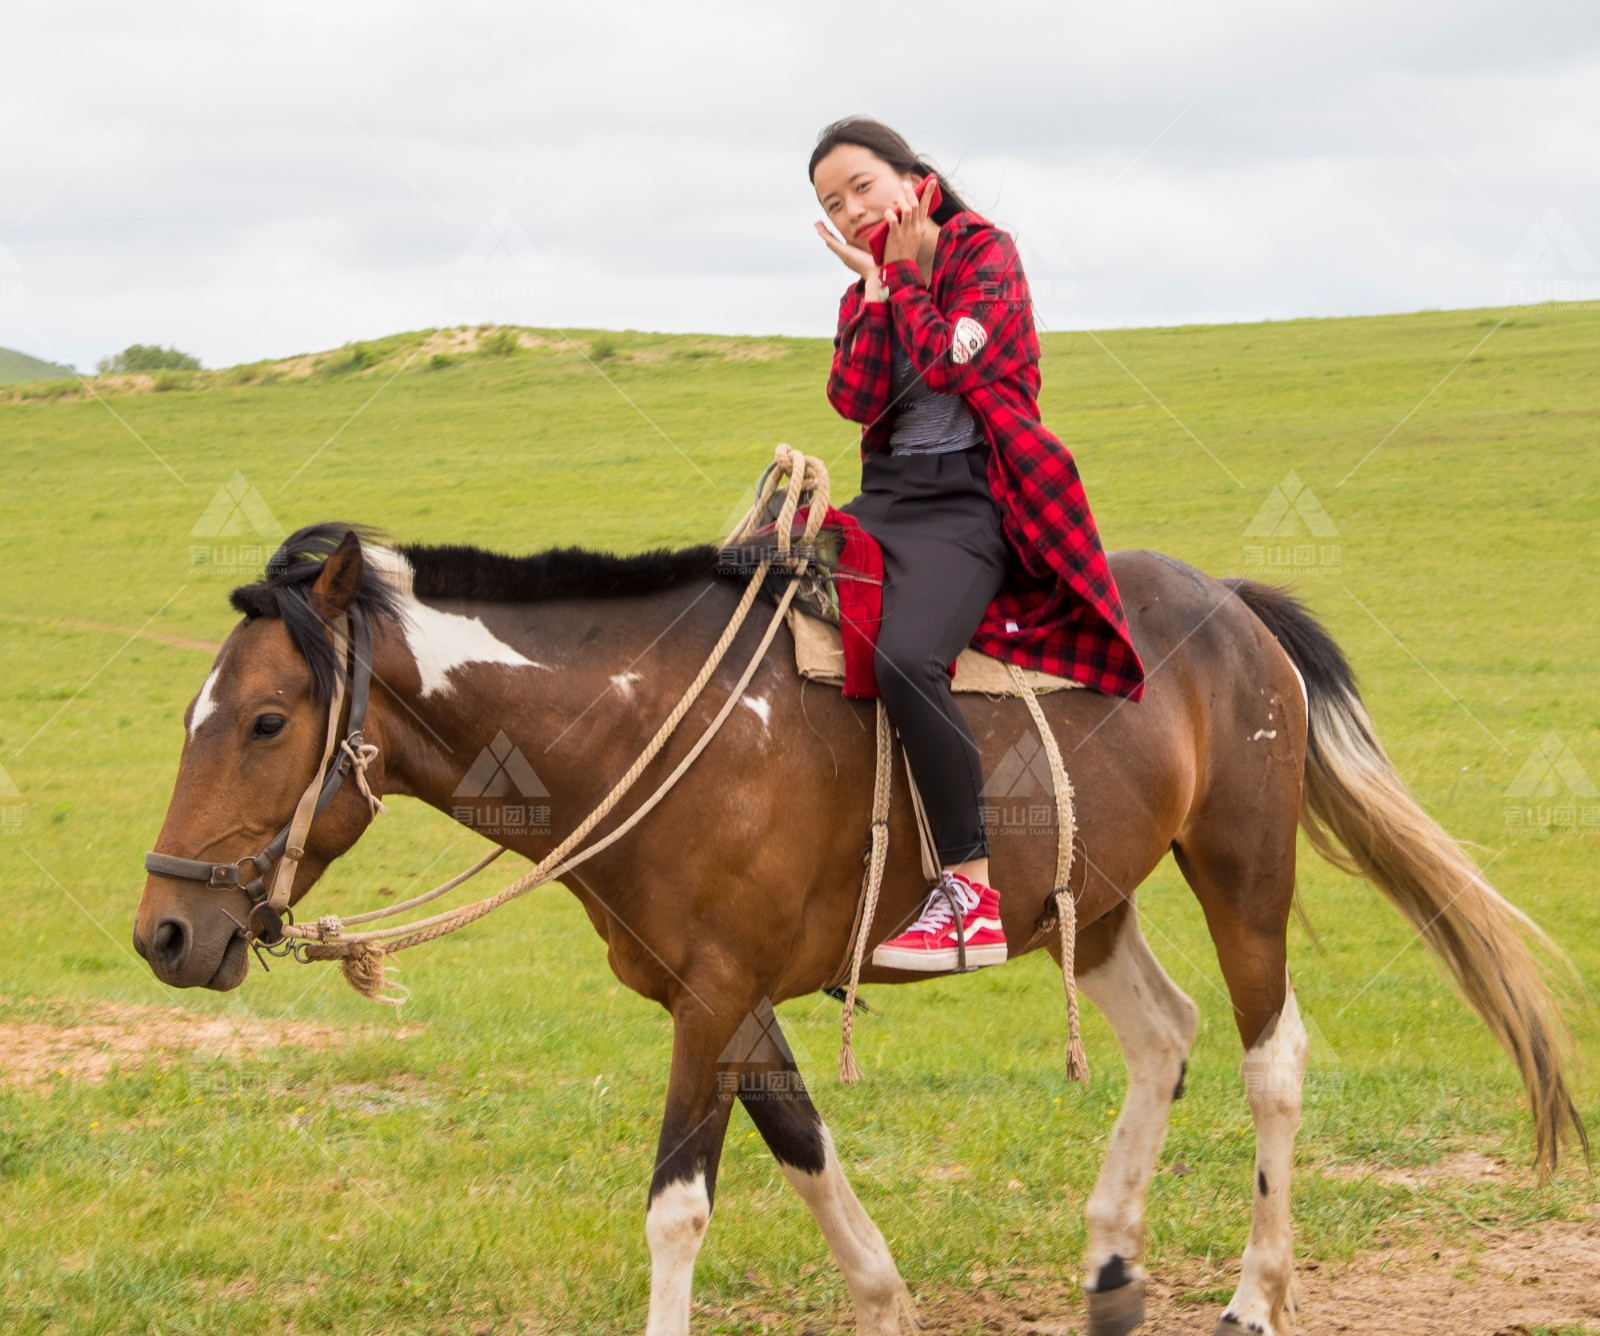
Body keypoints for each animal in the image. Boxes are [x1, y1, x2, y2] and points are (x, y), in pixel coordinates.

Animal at [137, 524, 1587, 1336]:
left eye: (267, 720)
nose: (165, 932)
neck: (654, 723)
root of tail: (1230, 603)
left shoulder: (713, 999)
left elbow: (677, 1210)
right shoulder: (721, 1000)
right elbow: (805, 1149)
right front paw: (887, 1306)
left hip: (1241, 866)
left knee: (1268, 1056)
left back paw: (1249, 1298)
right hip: (1091, 903)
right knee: (1164, 1039)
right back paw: (1111, 1265)